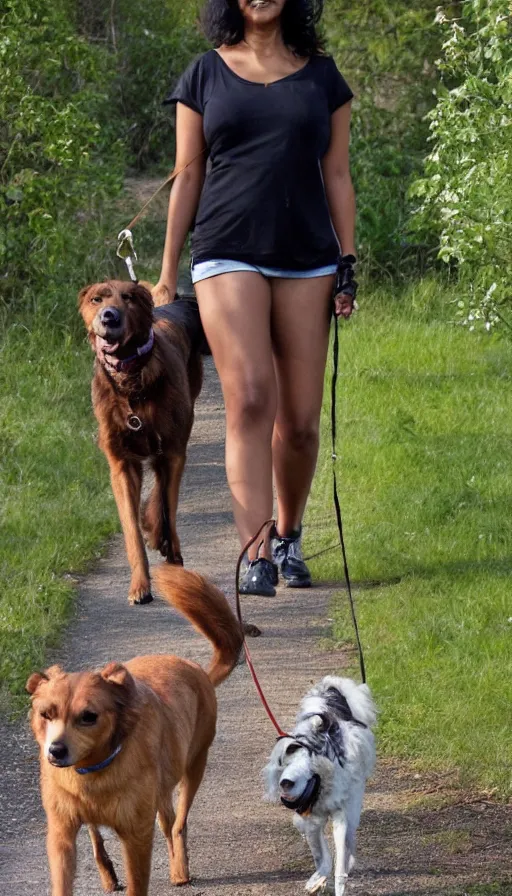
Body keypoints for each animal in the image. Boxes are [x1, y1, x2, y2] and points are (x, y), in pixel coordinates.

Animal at [26, 568, 244, 896]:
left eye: (89, 717)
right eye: (46, 714)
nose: (55, 751)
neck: (93, 774)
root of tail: (199, 671)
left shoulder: (136, 835)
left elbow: (138, 878)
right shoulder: (61, 833)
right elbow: (67, 873)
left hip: (195, 766)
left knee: (177, 824)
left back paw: (180, 869)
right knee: (122, 831)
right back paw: (110, 874)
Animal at [78, 280, 202, 600]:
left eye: (129, 298)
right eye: (96, 299)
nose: (109, 317)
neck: (131, 379)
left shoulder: (173, 450)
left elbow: (168, 505)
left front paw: (170, 552)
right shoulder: (121, 463)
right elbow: (131, 530)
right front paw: (140, 584)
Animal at [264, 676, 376, 892]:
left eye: (309, 761)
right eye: (285, 761)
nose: (285, 783)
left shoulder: (341, 816)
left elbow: (339, 863)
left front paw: (338, 882)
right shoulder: (312, 821)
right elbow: (321, 856)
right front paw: (317, 880)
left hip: (353, 811)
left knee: (350, 842)